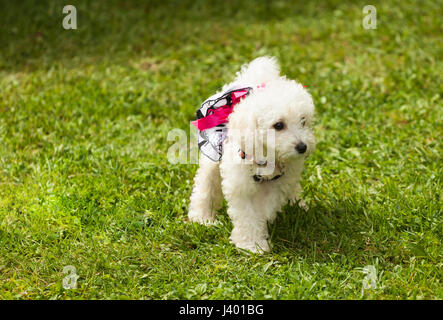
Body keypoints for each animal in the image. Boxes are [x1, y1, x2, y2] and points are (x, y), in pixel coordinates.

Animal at [188, 57, 316, 252]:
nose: (303, 147)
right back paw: (202, 217)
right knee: (205, 185)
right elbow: (248, 214)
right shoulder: (240, 184)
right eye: (278, 125)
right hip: (212, 159)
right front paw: (252, 245)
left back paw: (297, 203)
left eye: (303, 121)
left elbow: (267, 205)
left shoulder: (280, 182)